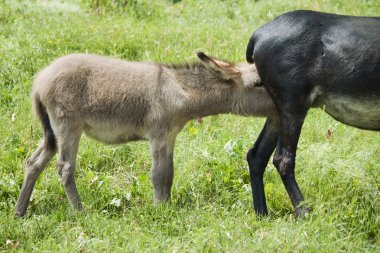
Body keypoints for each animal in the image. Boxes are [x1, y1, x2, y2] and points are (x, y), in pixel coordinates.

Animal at [15, 52, 276, 216]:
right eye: (259, 83)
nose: (282, 104)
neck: (177, 91)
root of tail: (39, 81)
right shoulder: (158, 135)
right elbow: (158, 175)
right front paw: (160, 210)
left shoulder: (170, 137)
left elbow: (169, 174)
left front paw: (167, 207)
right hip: (69, 127)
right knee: (65, 168)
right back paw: (80, 212)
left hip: (52, 133)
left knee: (33, 163)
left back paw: (19, 212)